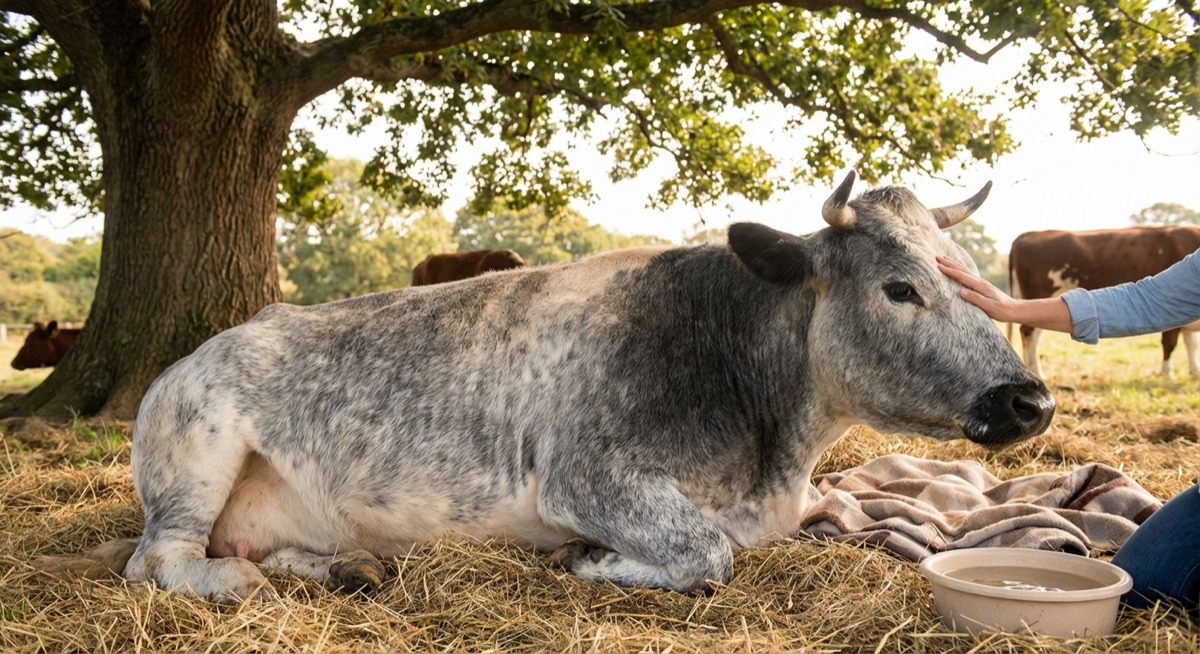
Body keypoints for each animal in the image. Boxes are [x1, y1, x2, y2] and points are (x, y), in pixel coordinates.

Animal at [111, 172, 1053, 603]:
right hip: (197, 455)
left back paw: (341, 565)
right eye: (899, 288)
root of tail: (195, 356)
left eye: (969, 276)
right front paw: (587, 559)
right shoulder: (587, 478)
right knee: (159, 559)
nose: (1030, 401)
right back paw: (238, 583)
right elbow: (706, 556)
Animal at [1008, 226, 1200, 379]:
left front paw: (1194, 371)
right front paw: (1167, 374)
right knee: (1028, 332)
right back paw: (1036, 372)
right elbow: (1170, 343)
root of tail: (1030, 234)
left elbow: (1191, 343)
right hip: (1039, 294)